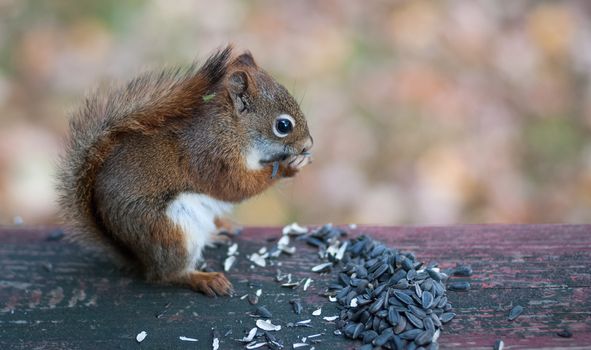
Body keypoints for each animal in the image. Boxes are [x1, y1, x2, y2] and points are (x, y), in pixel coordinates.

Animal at [56, 45, 314, 296]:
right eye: (283, 125)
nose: (308, 145)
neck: (232, 128)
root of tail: (138, 258)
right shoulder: (213, 156)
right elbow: (236, 186)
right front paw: (287, 167)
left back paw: (218, 232)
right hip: (168, 230)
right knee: (166, 275)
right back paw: (203, 279)